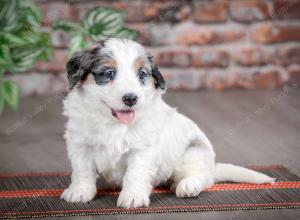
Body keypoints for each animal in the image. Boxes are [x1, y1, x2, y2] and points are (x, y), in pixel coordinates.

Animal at [60, 38, 274, 208]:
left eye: (141, 74)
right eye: (109, 73)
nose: (131, 99)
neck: (113, 123)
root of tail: (213, 166)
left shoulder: (143, 149)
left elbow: (135, 173)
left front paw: (132, 197)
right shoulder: (80, 144)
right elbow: (82, 170)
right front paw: (80, 192)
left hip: (193, 153)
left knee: (202, 177)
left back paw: (188, 185)